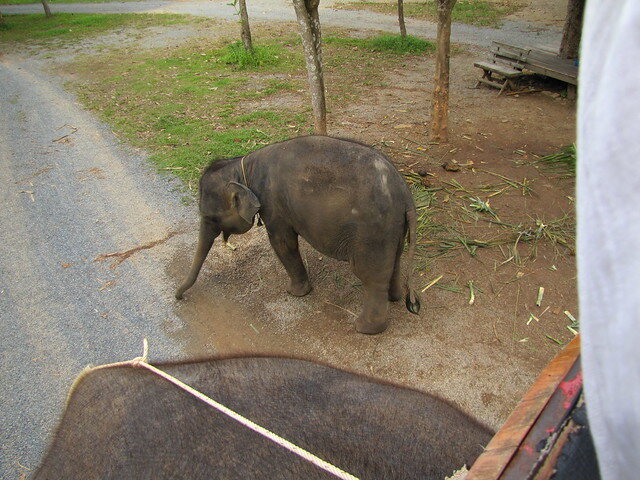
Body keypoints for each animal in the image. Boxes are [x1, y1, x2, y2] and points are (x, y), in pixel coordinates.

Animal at [178, 135, 422, 334]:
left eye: (210, 217)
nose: (178, 297)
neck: (243, 165)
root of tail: (405, 193)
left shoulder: (274, 207)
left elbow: (283, 244)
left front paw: (294, 293)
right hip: (392, 228)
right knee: (394, 260)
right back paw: (394, 298)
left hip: (371, 231)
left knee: (369, 275)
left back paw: (364, 328)